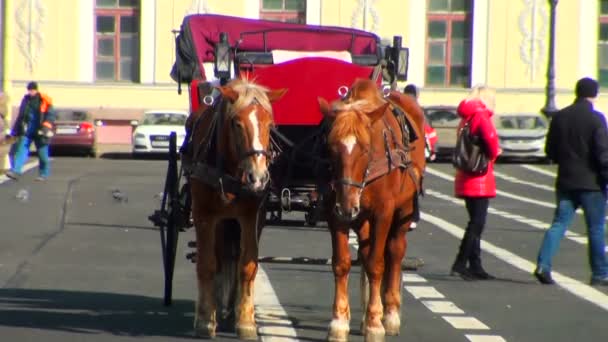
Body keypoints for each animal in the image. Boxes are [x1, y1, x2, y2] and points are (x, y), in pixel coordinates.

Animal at [186, 78, 286, 340]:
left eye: (270, 125)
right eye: (237, 124)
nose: (258, 177)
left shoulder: (251, 217)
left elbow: (247, 264)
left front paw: (246, 320)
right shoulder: (204, 215)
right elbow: (207, 264)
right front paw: (205, 320)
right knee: (219, 257)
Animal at [320, 78, 426, 342]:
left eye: (366, 149)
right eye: (331, 147)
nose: (348, 205)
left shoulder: (383, 214)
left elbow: (377, 265)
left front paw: (375, 323)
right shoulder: (335, 214)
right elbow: (342, 263)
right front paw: (339, 321)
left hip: (402, 213)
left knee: (395, 252)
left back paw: (389, 314)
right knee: (367, 252)